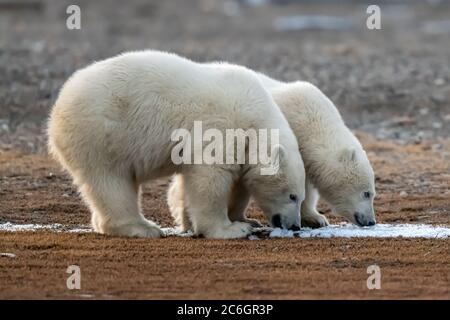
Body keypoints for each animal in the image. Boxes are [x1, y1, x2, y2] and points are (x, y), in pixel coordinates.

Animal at [46, 51, 306, 239]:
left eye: (301, 198)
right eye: (293, 196)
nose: (295, 226)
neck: (256, 116)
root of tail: (57, 109)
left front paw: (235, 220)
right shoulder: (222, 126)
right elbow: (210, 179)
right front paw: (231, 229)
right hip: (102, 133)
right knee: (112, 182)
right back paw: (143, 228)